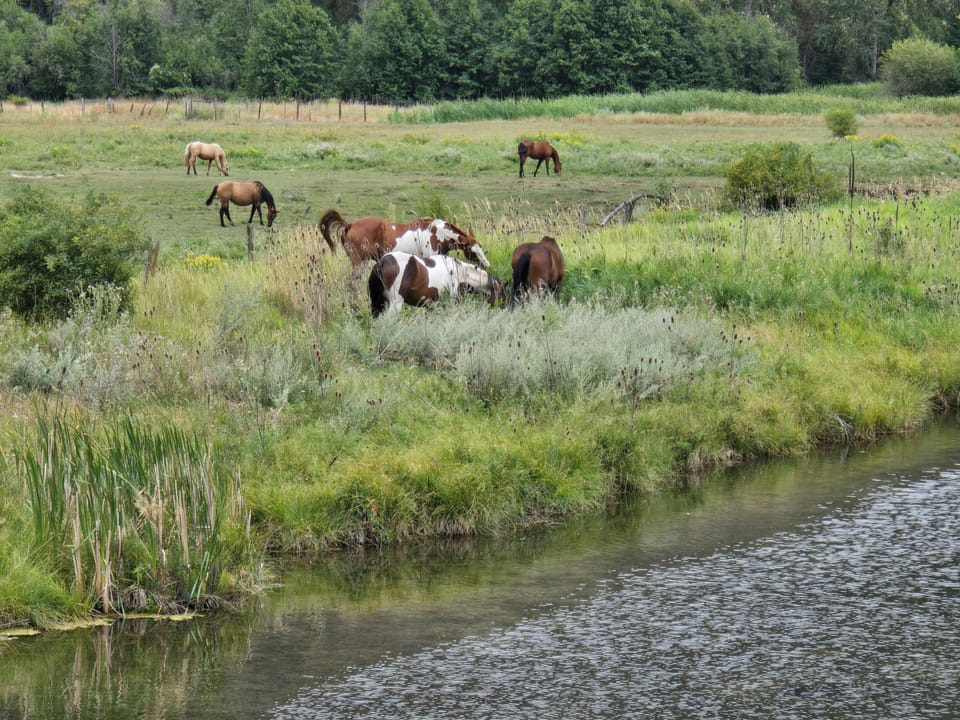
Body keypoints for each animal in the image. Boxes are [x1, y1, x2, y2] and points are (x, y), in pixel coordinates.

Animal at [319, 209, 490, 269]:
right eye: (472, 251)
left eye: (481, 247)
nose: (487, 265)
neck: (436, 233)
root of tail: (350, 224)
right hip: (359, 262)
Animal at [368, 251, 505, 317]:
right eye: (501, 294)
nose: (503, 309)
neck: (458, 272)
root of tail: (382, 262)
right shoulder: (451, 303)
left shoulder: (430, 306)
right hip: (394, 304)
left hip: (378, 303)